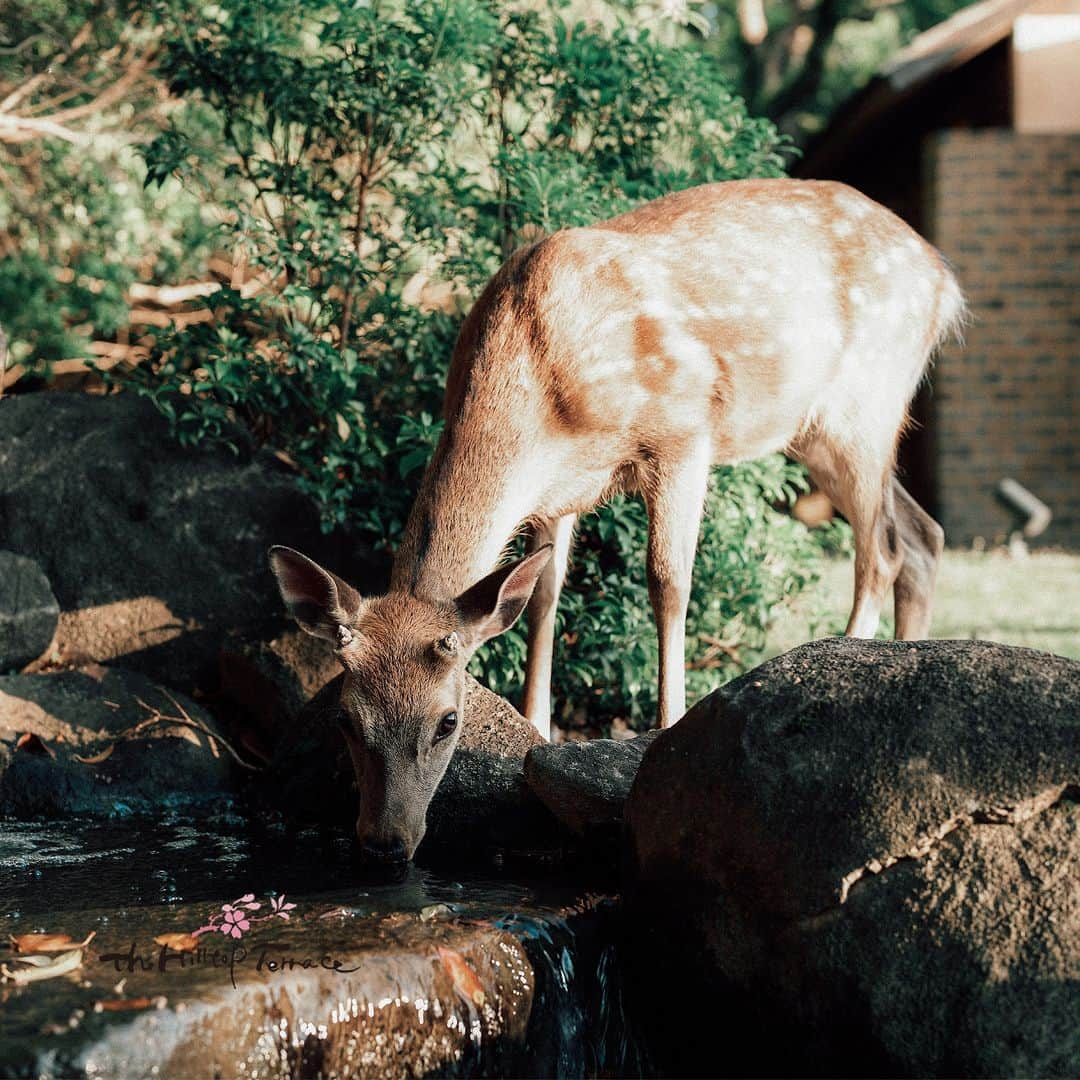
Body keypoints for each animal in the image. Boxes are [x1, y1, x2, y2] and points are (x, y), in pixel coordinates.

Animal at [267, 181, 963, 864]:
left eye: (448, 721)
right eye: (346, 720)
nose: (384, 842)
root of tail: (941, 276)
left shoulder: (684, 431)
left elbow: (668, 583)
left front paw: (664, 727)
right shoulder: (563, 490)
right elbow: (544, 597)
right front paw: (537, 727)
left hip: (863, 402)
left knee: (883, 549)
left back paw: (854, 653)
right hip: (822, 429)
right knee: (922, 535)